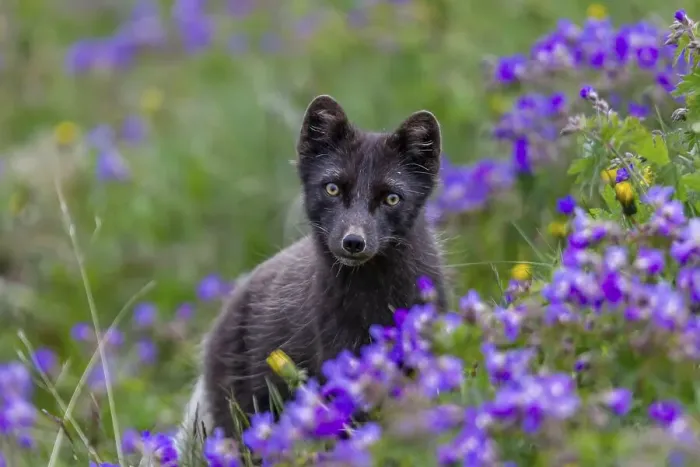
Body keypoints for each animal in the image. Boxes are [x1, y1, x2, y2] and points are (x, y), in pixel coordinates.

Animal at [160, 95, 448, 462]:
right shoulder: (339, 357)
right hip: (244, 407)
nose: (353, 241)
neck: (376, 300)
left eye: (392, 198)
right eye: (333, 188)